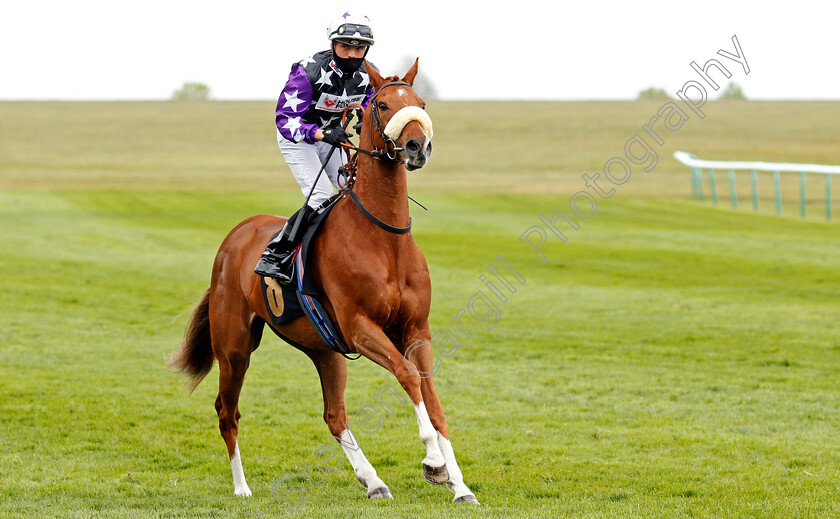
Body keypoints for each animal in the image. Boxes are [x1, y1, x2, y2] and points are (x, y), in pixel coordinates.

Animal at [171, 60, 480, 504]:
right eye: (382, 104)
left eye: (421, 103)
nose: (417, 146)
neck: (384, 238)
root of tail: (234, 238)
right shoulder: (360, 328)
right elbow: (407, 376)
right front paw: (434, 462)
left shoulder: (416, 330)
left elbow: (432, 399)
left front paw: (459, 484)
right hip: (234, 347)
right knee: (226, 412)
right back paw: (242, 487)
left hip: (323, 349)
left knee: (334, 415)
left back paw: (373, 480)